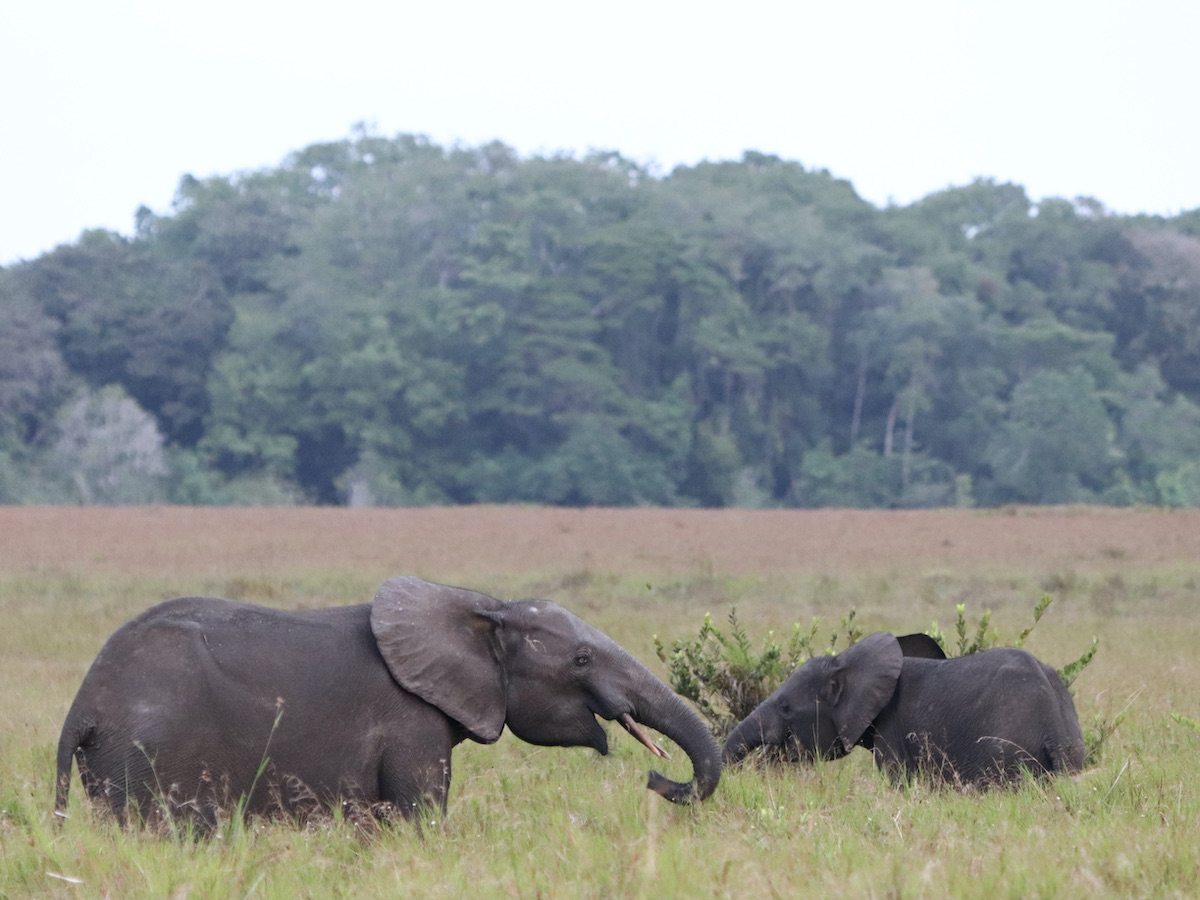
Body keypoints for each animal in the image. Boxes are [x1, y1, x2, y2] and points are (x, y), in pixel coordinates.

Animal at [55, 576, 721, 828]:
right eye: (581, 659)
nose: (657, 780)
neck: (483, 607)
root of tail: (82, 708)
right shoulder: (410, 724)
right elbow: (422, 815)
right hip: (147, 754)